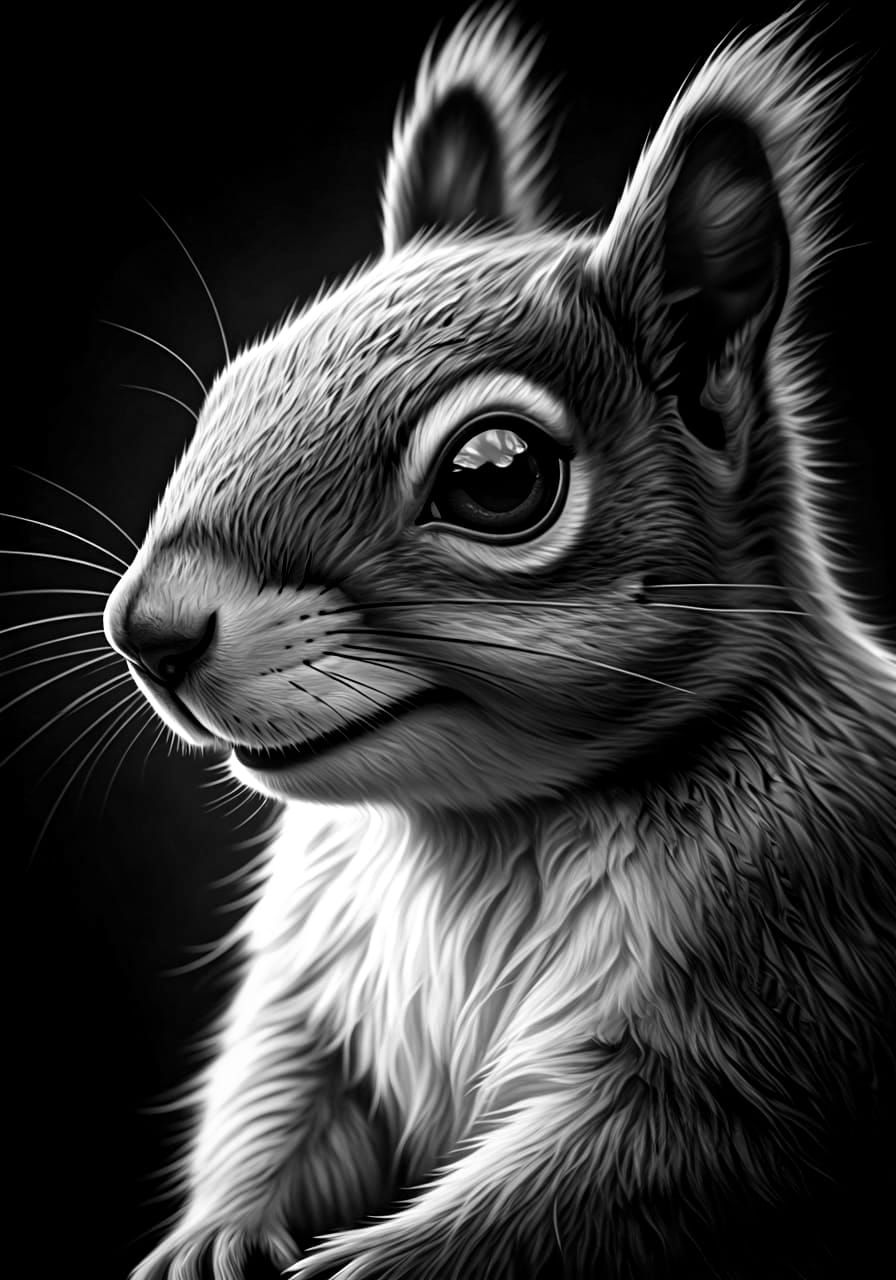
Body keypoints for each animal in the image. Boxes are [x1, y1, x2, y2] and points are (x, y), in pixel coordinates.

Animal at [104, 8, 895, 1279]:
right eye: (233, 387)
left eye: (496, 474)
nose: (147, 631)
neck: (474, 829)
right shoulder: (313, 982)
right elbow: (276, 1093)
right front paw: (212, 1234)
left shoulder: (770, 988)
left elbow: (605, 1184)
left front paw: (362, 1264)